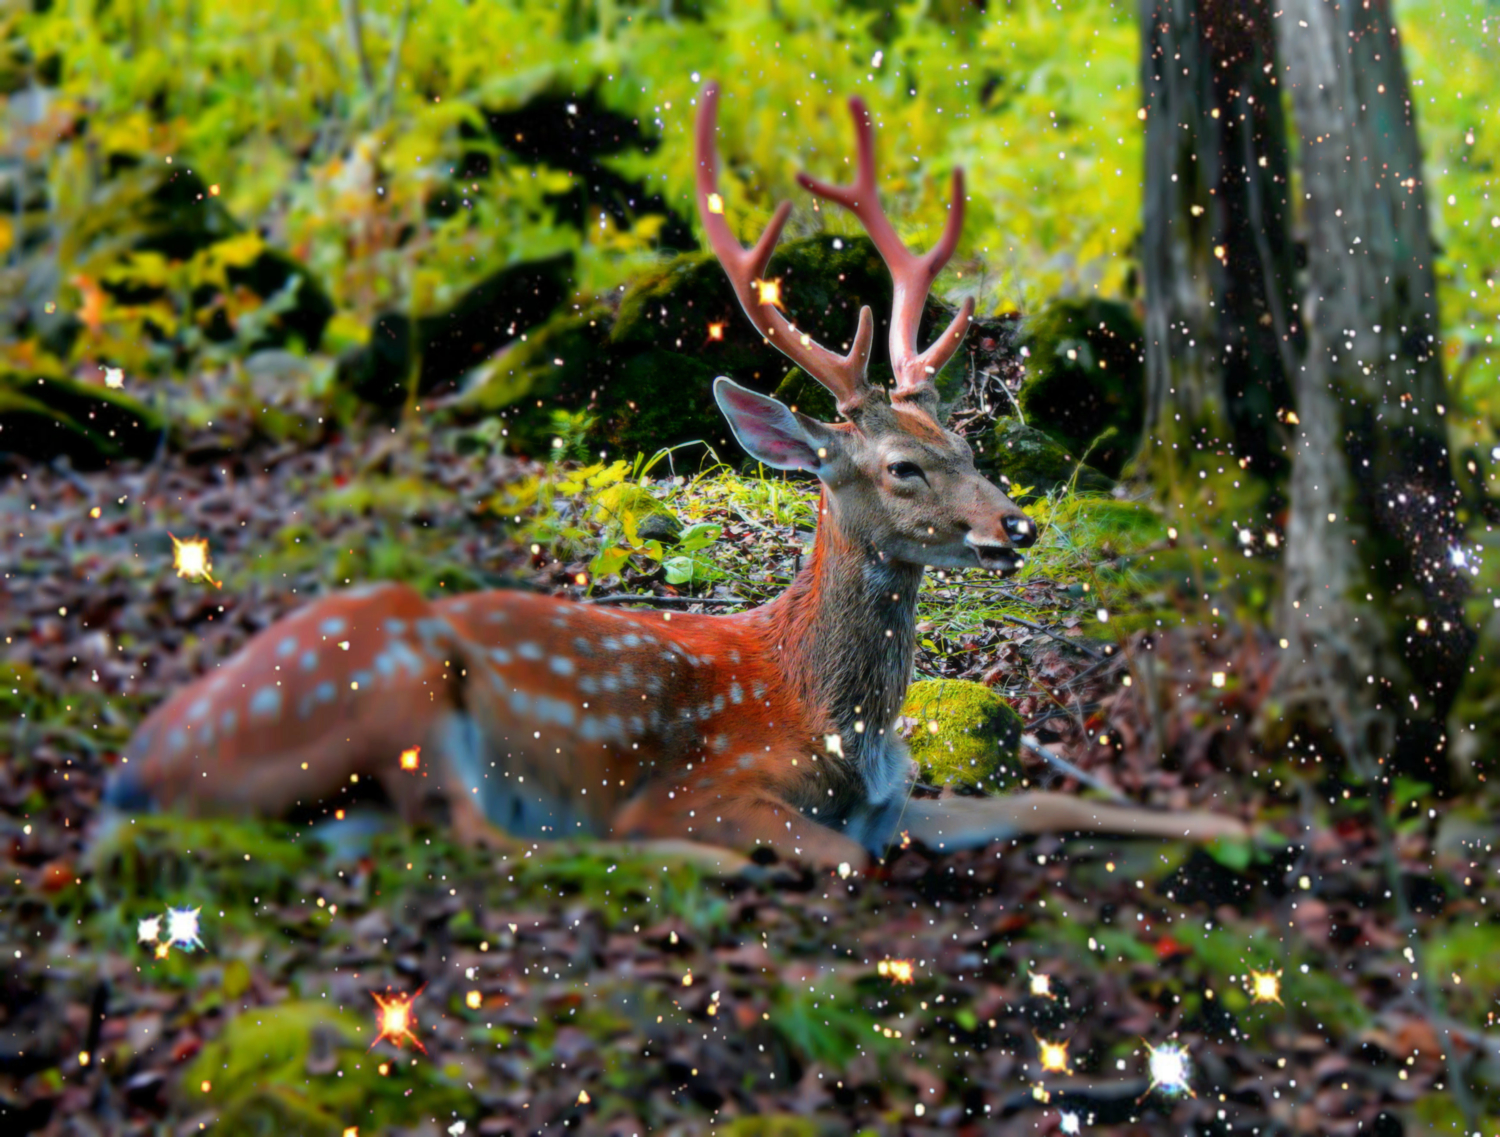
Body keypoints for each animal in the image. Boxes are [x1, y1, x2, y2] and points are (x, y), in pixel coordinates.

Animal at [99, 87, 1248, 870]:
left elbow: (1049, 804)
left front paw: (1237, 826)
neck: (836, 726)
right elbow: (846, 853)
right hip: (394, 679)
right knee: (487, 835)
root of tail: (137, 767)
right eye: (903, 467)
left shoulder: (905, 797)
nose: (1016, 526)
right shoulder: (717, 782)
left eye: (973, 448)